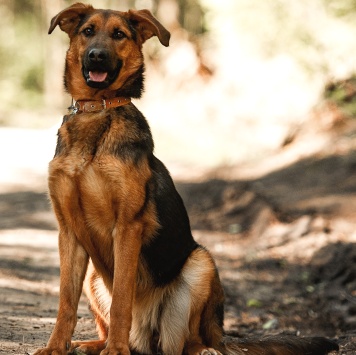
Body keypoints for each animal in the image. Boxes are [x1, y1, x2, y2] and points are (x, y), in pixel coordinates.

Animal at [34, 3, 340, 355]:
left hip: (201, 264)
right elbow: (65, 301)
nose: (97, 56)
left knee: (186, 342)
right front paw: (56, 346)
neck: (97, 111)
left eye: (119, 35)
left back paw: (186, 348)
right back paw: (93, 344)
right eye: (88, 31)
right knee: (114, 327)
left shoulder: (127, 226)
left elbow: (122, 298)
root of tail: (143, 337)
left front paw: (115, 350)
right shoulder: (68, 231)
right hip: (93, 277)